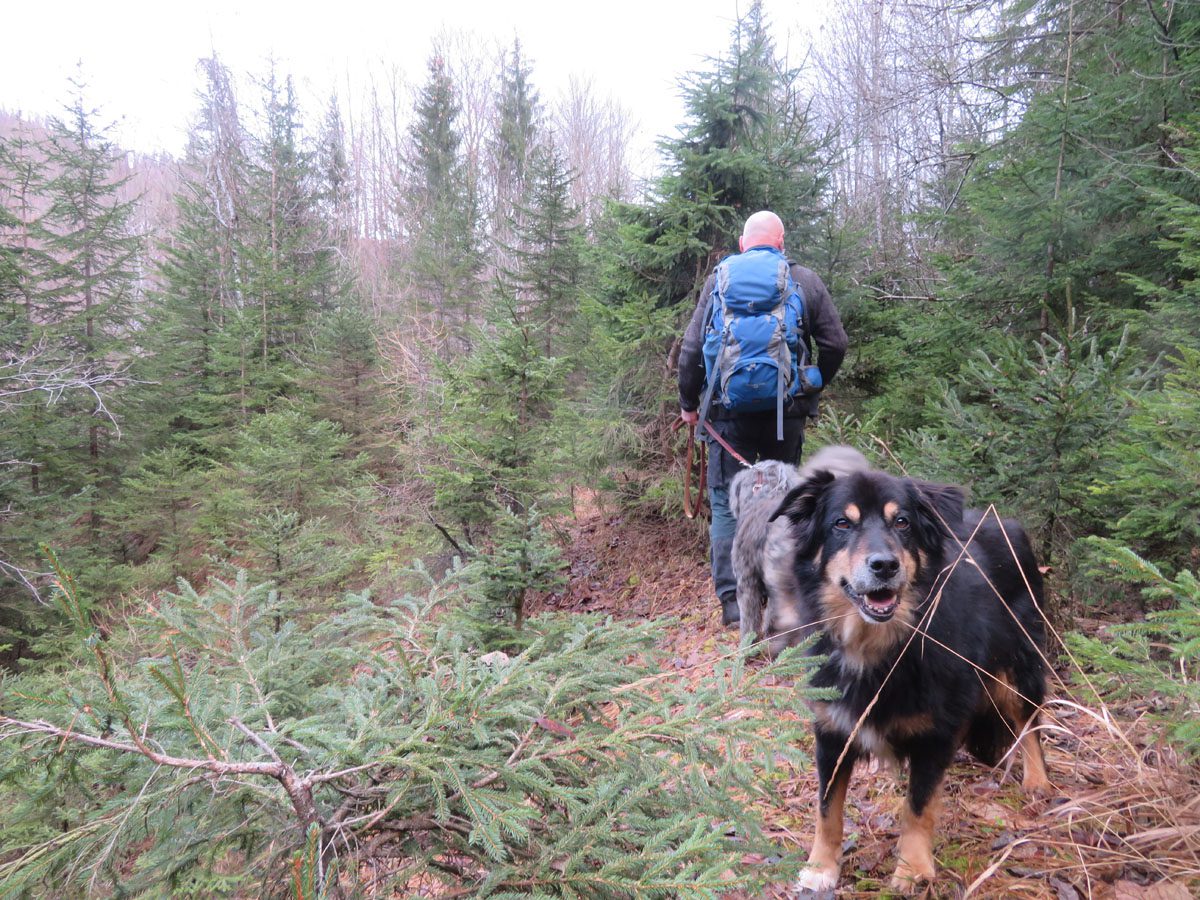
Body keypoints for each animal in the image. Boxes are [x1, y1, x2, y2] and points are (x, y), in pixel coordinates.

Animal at [767, 467, 1051, 892]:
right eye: (841, 524)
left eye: (901, 522)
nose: (884, 565)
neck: (877, 646)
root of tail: (1011, 524)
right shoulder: (833, 731)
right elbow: (827, 807)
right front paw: (821, 866)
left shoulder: (934, 736)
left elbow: (917, 806)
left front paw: (912, 870)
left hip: (1018, 665)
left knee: (1029, 720)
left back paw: (1037, 779)